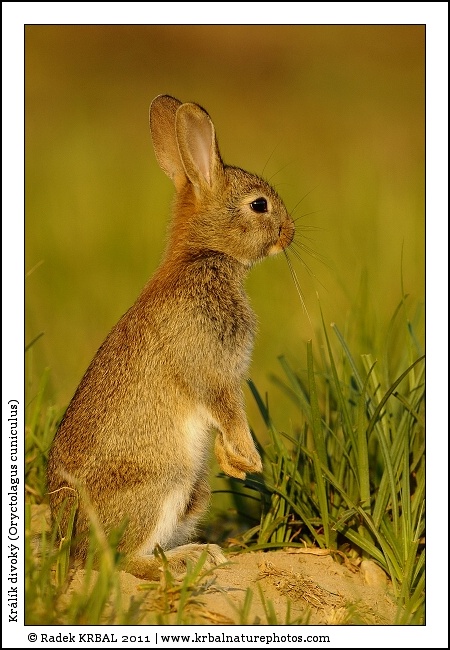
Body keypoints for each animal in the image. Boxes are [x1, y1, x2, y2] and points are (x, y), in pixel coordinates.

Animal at [47, 94, 295, 580]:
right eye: (259, 205)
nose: (290, 233)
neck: (204, 254)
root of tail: (72, 544)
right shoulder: (212, 366)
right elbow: (226, 409)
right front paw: (251, 459)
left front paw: (234, 463)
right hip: (167, 481)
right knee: (120, 560)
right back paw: (185, 561)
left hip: (193, 492)